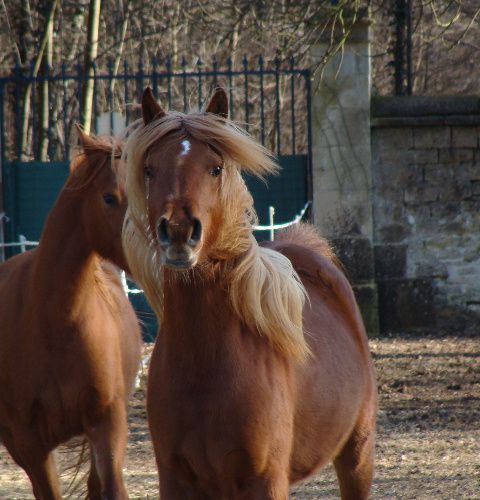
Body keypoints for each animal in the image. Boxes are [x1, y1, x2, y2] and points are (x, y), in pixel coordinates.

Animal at [124, 88, 378, 498]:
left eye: (215, 168)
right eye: (150, 169)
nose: (178, 232)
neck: (205, 365)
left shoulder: (266, 479)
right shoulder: (175, 479)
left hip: (357, 454)